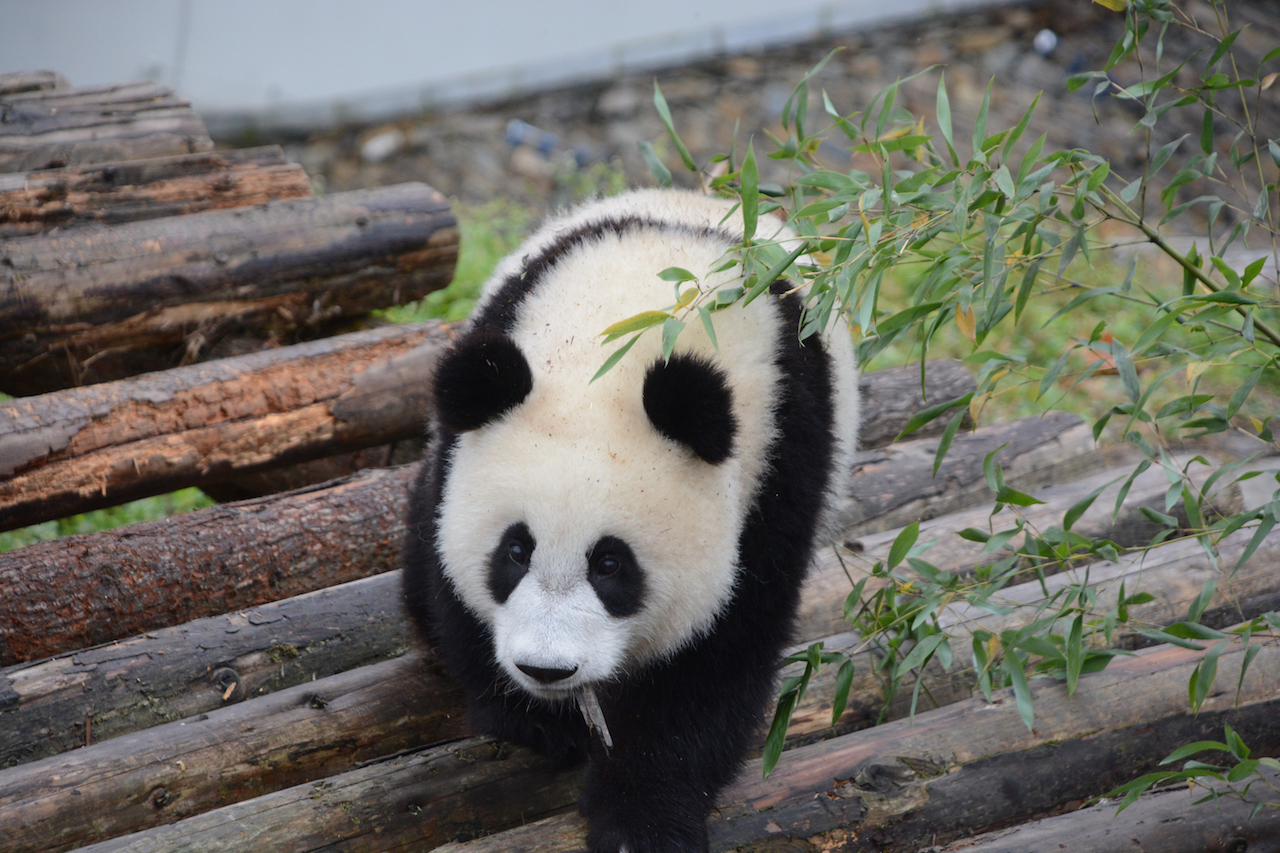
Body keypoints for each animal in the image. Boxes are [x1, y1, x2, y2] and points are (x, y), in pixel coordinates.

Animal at [404, 188, 859, 853]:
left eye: (611, 564)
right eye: (515, 552)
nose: (546, 668)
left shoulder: (779, 464)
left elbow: (714, 657)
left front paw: (640, 821)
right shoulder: (462, 451)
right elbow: (451, 582)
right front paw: (538, 723)